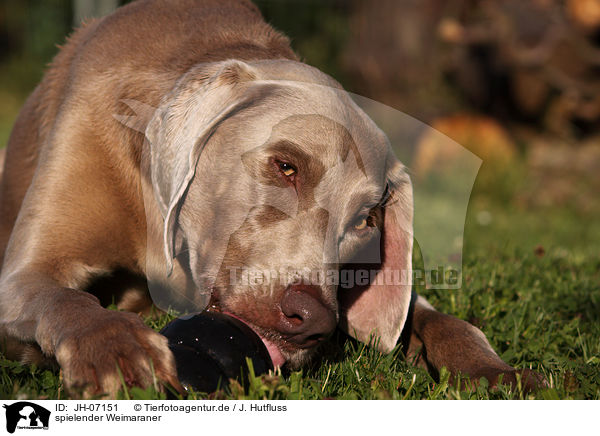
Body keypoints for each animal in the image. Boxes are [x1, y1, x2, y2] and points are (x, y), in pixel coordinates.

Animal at [0, 0, 544, 396]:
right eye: (286, 166)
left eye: (365, 220)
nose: (312, 323)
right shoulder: (26, 272)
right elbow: (67, 298)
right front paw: (115, 348)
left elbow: (442, 318)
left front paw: (501, 374)